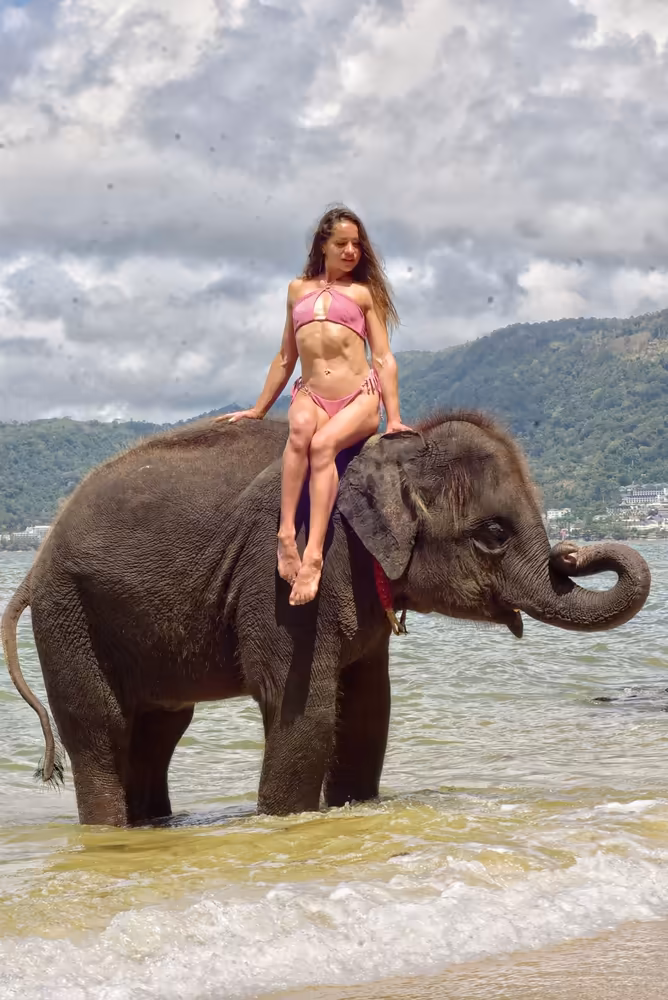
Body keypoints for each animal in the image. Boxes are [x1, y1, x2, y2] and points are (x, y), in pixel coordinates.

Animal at [1, 411, 651, 827]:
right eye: (493, 533)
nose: (571, 551)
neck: (382, 450)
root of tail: (35, 562)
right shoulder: (283, 574)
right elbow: (305, 711)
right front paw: (285, 821)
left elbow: (368, 711)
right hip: (69, 616)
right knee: (100, 730)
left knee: (158, 732)